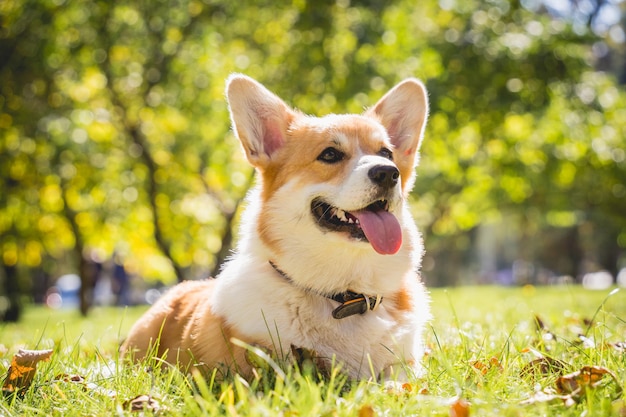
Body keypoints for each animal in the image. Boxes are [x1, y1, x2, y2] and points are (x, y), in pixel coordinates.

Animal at [120, 73, 428, 382]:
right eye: (330, 154)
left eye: (386, 153)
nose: (388, 173)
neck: (346, 296)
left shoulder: (406, 365)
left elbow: (399, 379)